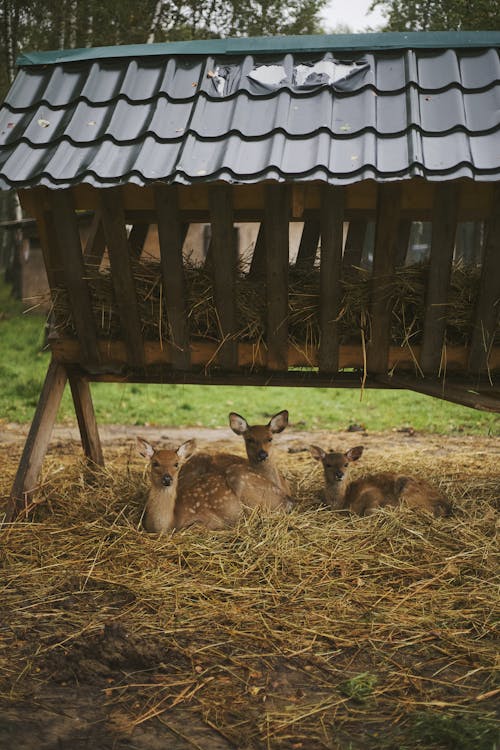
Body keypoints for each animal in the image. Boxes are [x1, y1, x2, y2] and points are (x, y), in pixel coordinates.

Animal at [310, 446, 452, 516]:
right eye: (327, 464)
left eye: (346, 464)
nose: (339, 474)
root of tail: (446, 505)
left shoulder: (372, 493)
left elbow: (369, 511)